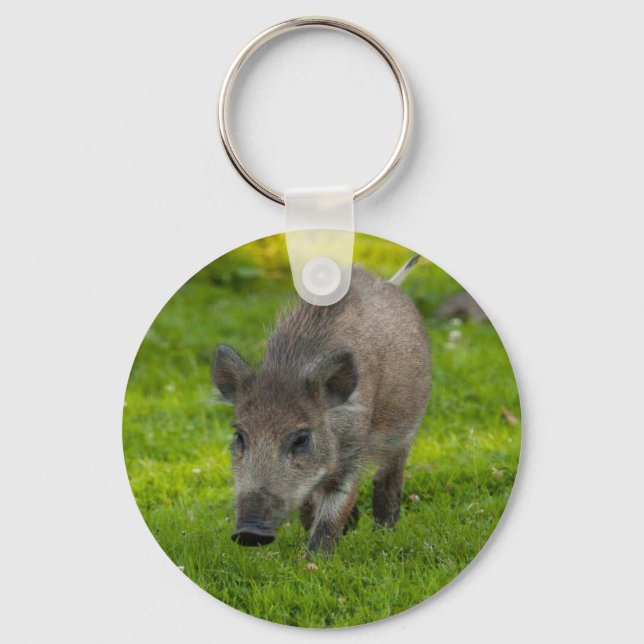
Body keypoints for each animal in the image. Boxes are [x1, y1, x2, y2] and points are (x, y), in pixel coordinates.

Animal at [212, 255, 431, 554]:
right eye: (239, 436)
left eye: (301, 439)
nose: (248, 533)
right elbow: (309, 505)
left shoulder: (353, 453)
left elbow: (332, 513)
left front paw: (316, 560)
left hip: (404, 436)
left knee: (388, 481)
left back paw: (384, 534)